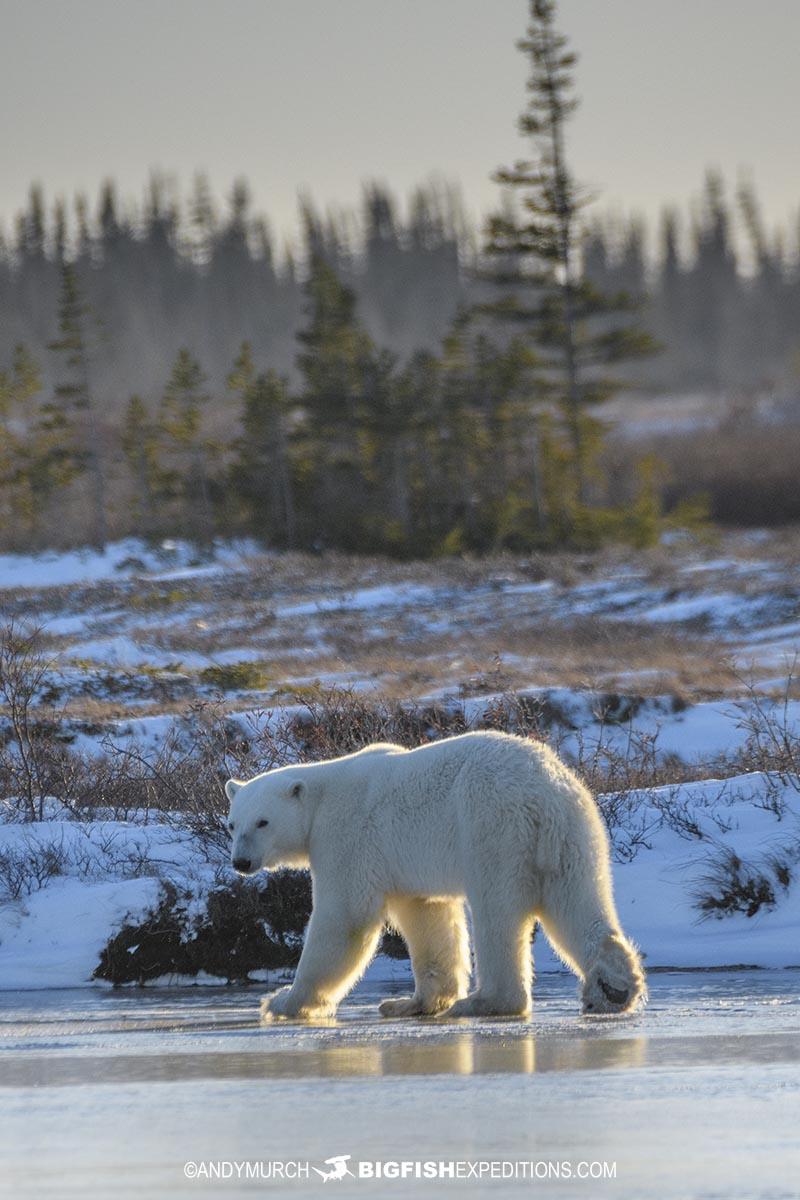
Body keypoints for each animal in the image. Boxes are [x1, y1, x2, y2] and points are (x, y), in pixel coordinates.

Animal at [225, 730, 645, 1021]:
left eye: (262, 822)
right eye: (232, 824)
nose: (241, 862)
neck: (319, 797)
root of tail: (543, 789)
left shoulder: (347, 837)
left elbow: (345, 917)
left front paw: (283, 1000)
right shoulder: (405, 863)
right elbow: (427, 917)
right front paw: (410, 1002)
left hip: (492, 826)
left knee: (496, 912)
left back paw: (485, 1002)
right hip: (574, 833)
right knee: (577, 901)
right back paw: (611, 989)